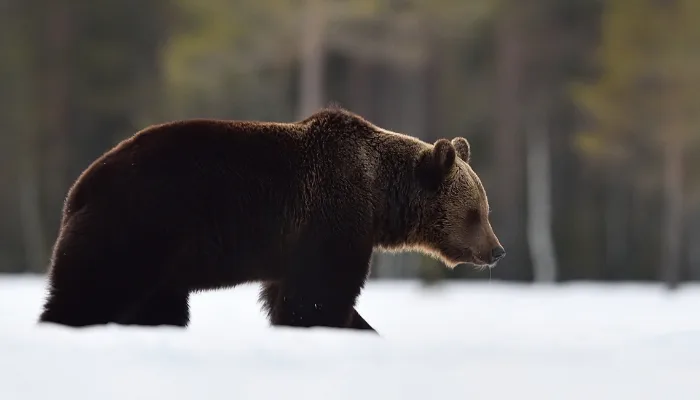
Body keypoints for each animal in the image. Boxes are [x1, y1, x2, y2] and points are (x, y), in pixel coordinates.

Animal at [37, 107, 504, 334]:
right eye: (476, 212)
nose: (496, 250)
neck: (379, 198)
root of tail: (79, 188)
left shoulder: (297, 241)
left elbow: (290, 295)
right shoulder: (331, 217)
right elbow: (318, 297)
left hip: (160, 260)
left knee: (156, 306)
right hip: (139, 225)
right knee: (91, 289)